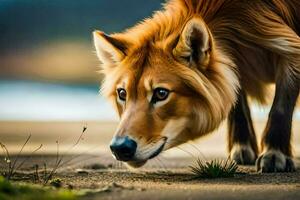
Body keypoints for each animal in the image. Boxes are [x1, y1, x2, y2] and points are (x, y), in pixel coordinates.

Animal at [92, 0, 298, 172]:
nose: (120, 148)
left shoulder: (290, 49)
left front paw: (275, 154)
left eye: (161, 93)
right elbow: (237, 104)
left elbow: (280, 108)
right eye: (122, 93)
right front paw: (242, 147)